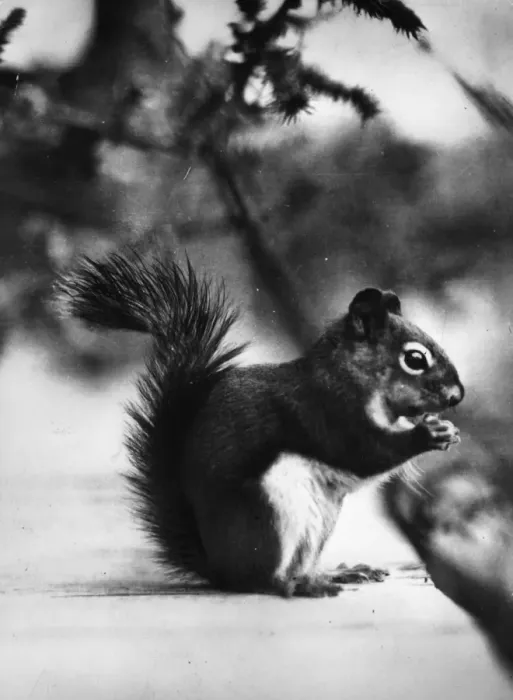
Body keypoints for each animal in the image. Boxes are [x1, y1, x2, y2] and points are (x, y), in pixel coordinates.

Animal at [55, 245, 465, 597]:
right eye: (415, 358)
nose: (457, 395)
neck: (348, 375)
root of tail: (220, 569)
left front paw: (444, 429)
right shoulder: (325, 411)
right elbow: (366, 452)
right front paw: (426, 434)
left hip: (319, 520)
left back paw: (334, 573)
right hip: (270, 512)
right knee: (263, 580)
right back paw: (300, 586)